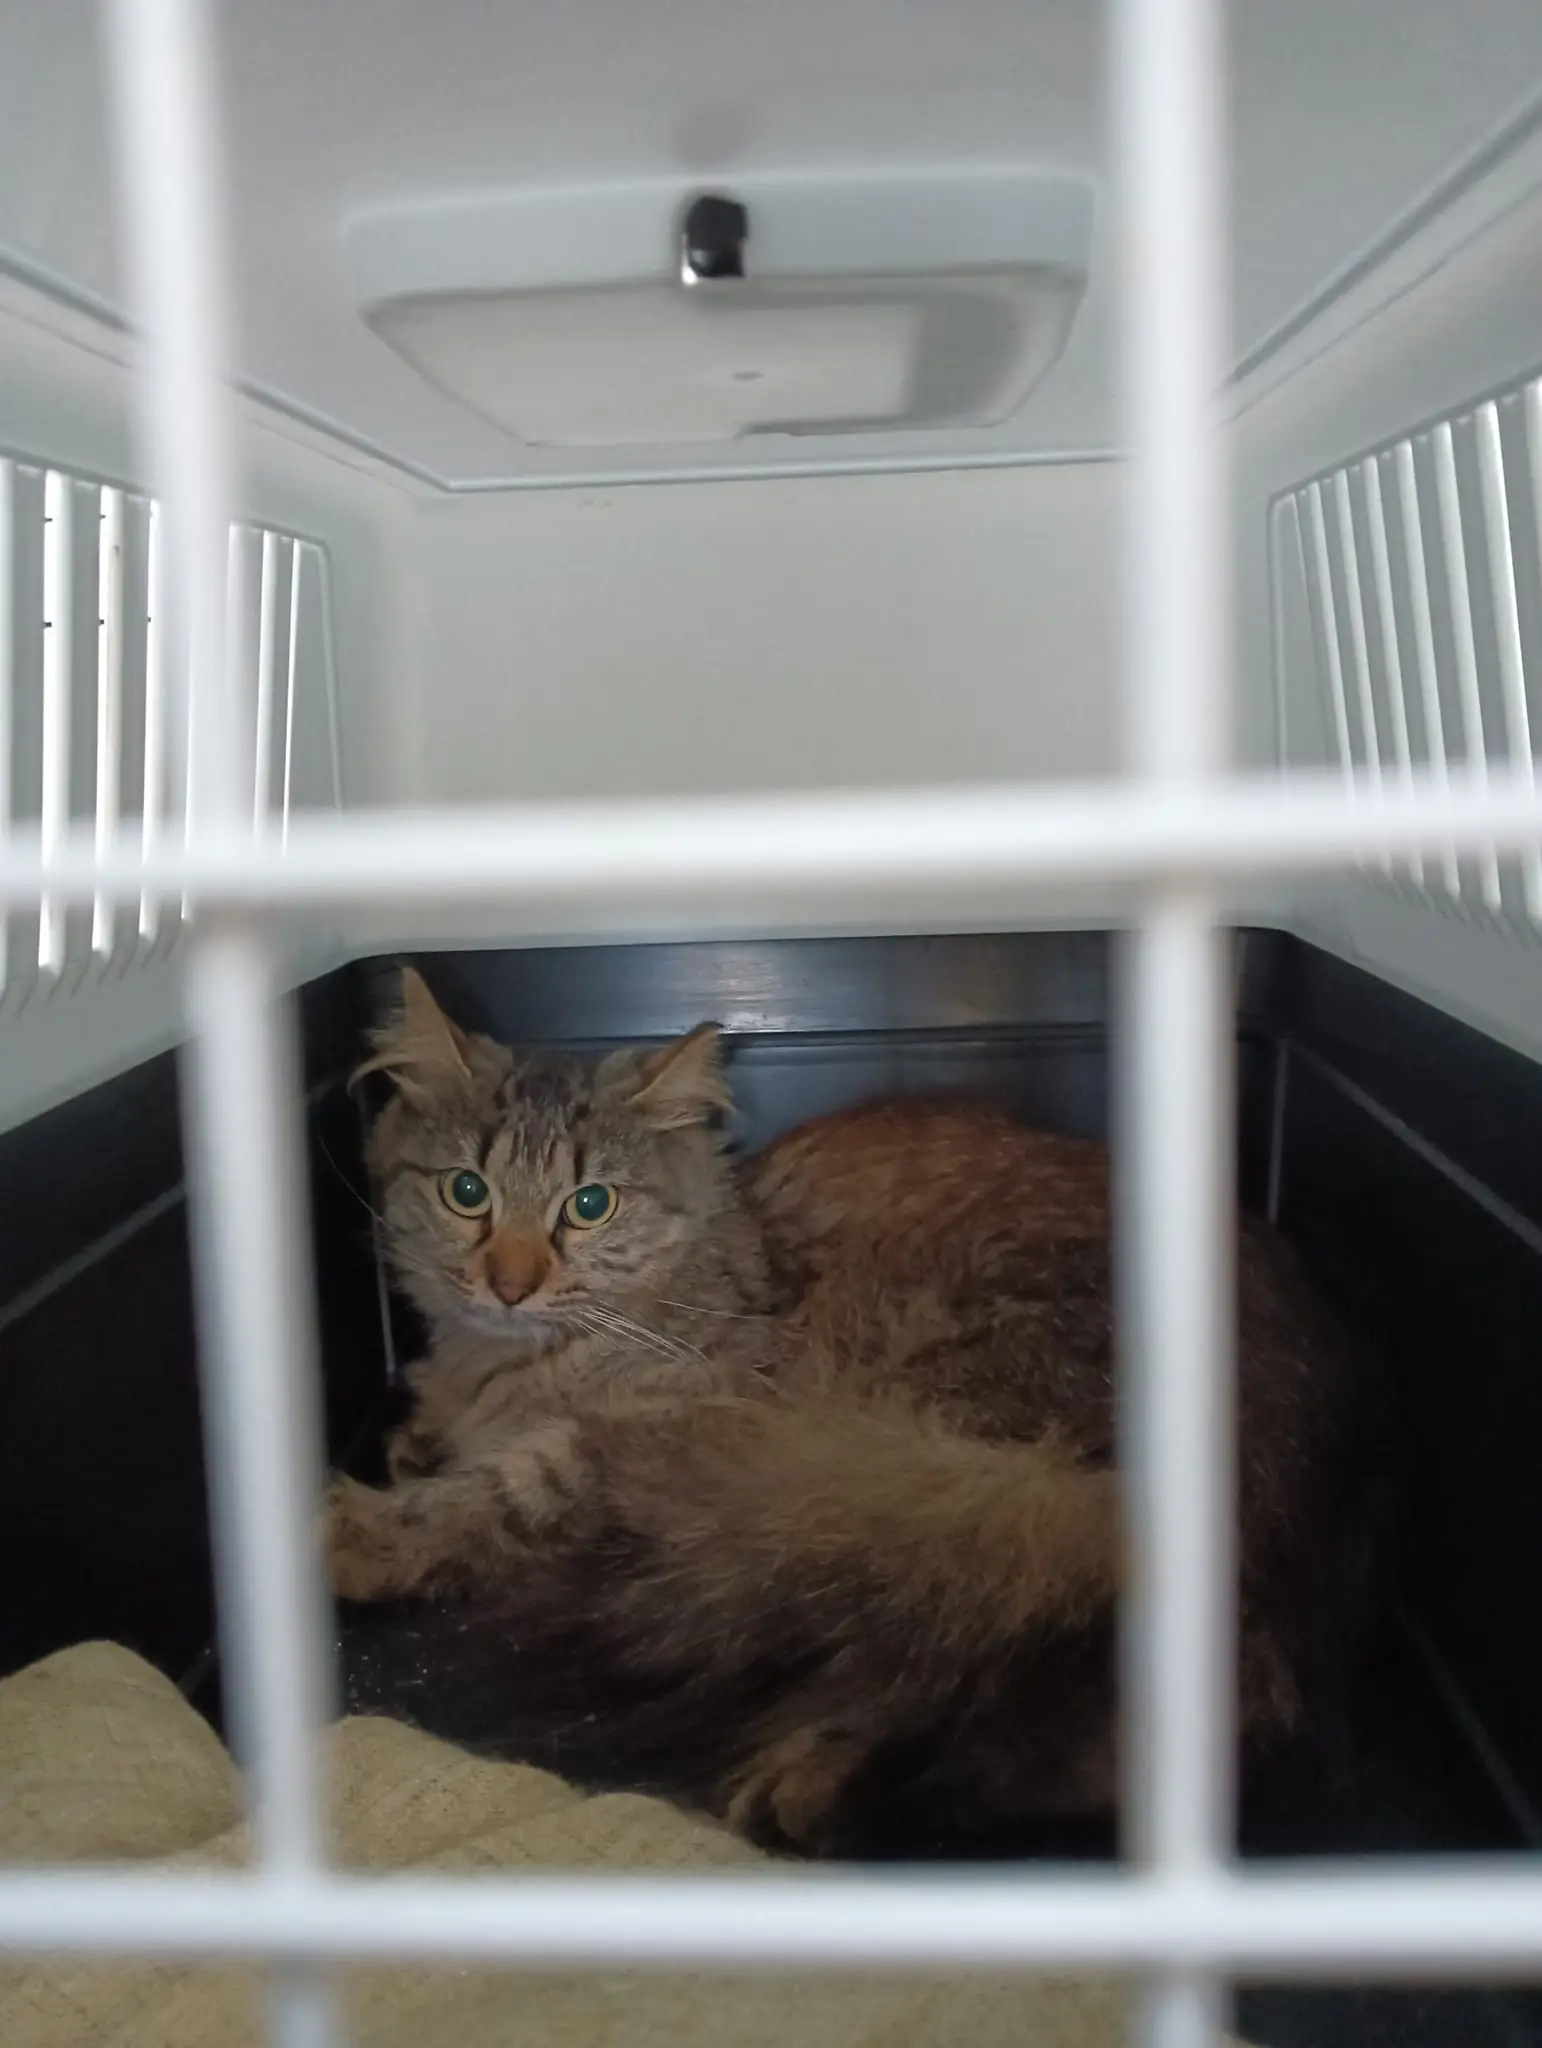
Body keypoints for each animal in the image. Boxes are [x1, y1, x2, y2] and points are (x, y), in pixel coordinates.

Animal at [325, 967, 1397, 1856]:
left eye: (589, 1205)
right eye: (467, 1191)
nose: (509, 1282)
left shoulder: (677, 1425)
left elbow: (500, 1492)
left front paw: (353, 1527)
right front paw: (418, 1442)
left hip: (931, 1463)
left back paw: (812, 1779)